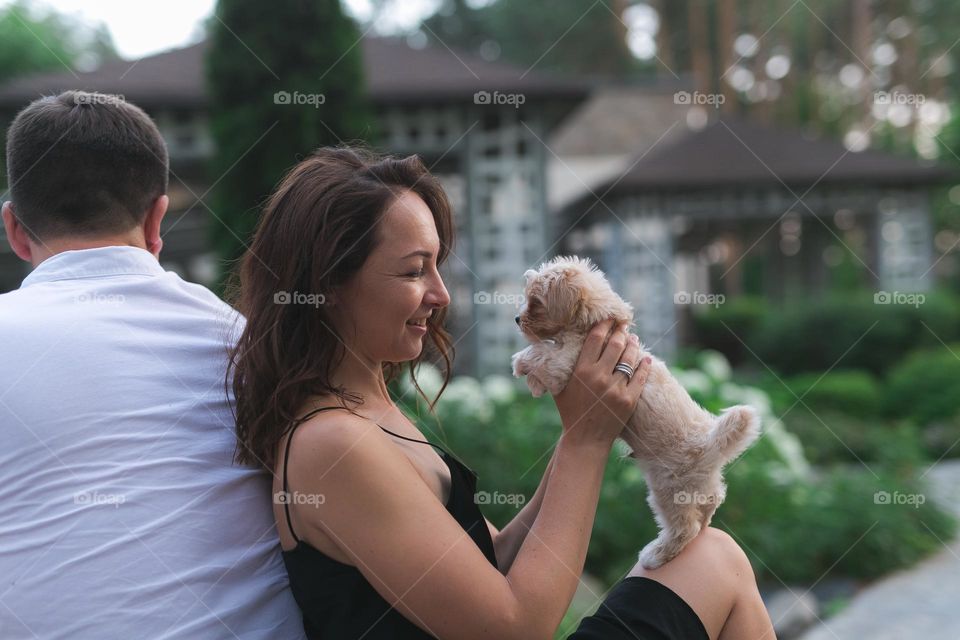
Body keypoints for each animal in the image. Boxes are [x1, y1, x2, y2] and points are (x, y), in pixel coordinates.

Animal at [510, 255, 756, 568]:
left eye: (536, 302)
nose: (517, 319)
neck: (594, 326)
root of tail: (711, 442)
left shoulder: (566, 364)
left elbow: (542, 352)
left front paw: (521, 364)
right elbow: (544, 354)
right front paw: (532, 382)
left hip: (668, 490)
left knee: (685, 528)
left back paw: (656, 555)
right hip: (698, 486)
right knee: (712, 502)